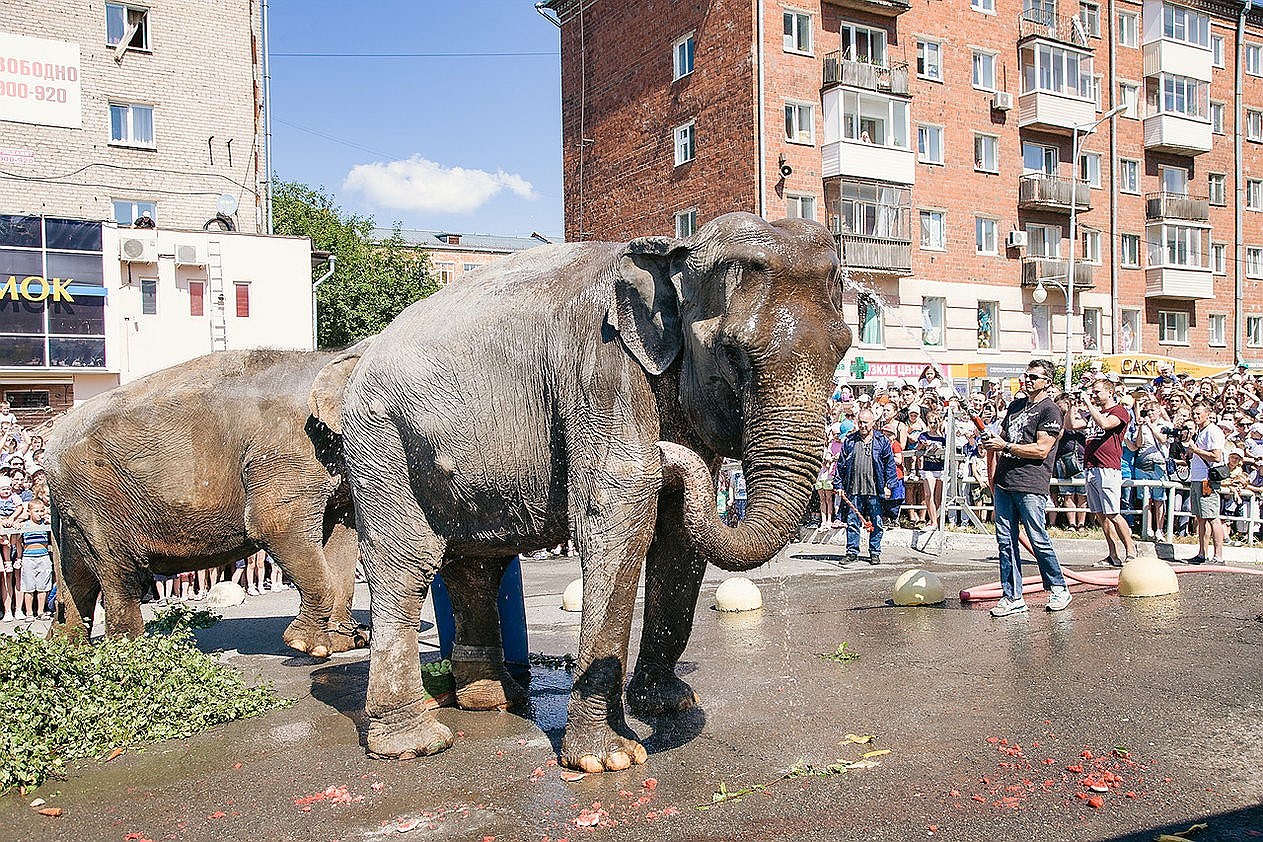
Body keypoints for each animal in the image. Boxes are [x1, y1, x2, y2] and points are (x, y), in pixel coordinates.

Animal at [45, 343, 368, 656]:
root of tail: (51, 445)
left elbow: (341, 537)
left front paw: (345, 641)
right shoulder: (290, 451)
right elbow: (273, 525)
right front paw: (308, 646)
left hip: (75, 507)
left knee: (78, 575)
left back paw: (65, 650)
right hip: (96, 497)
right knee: (121, 575)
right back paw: (134, 655)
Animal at [308, 214, 848, 772]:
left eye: (843, 349)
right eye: (734, 353)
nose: (663, 452)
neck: (671, 253)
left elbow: (677, 540)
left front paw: (668, 704)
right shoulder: (602, 371)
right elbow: (620, 515)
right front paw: (608, 760)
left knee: (476, 568)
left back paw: (492, 698)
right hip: (381, 439)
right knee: (405, 566)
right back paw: (415, 742)